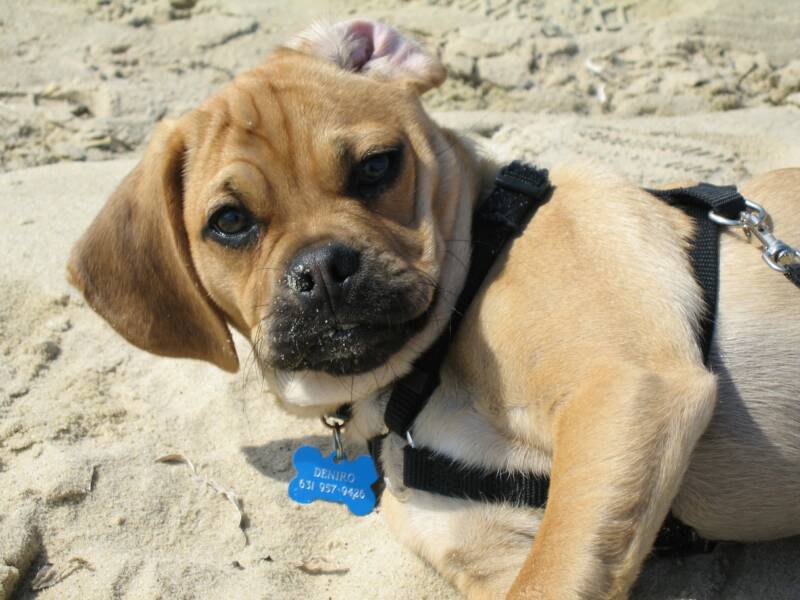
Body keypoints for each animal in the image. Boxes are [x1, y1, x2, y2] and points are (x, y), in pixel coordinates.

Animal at [69, 18, 800, 600]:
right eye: (229, 223)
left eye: (377, 166)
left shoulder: (626, 390)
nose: (322, 269)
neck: (417, 378)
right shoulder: (487, 543)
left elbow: (552, 579)